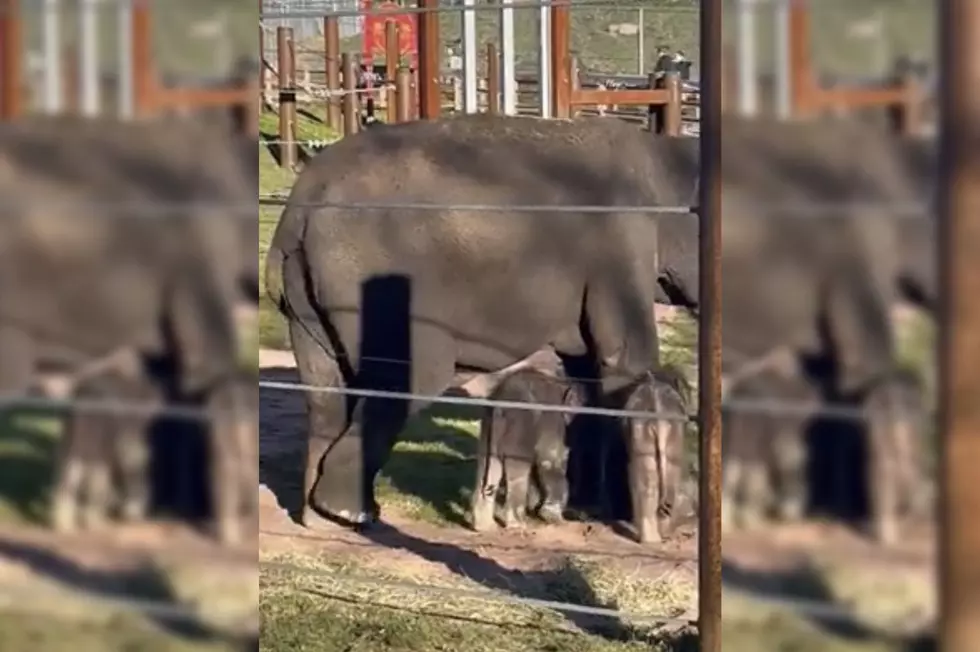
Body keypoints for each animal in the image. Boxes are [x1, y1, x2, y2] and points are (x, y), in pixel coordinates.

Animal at [472, 366, 584, 528]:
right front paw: (551, 515)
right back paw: (516, 523)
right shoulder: (553, 417)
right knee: (518, 473)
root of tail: (500, 406)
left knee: (489, 467)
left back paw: (485, 527)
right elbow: (550, 460)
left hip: (486, 430)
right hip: (519, 430)